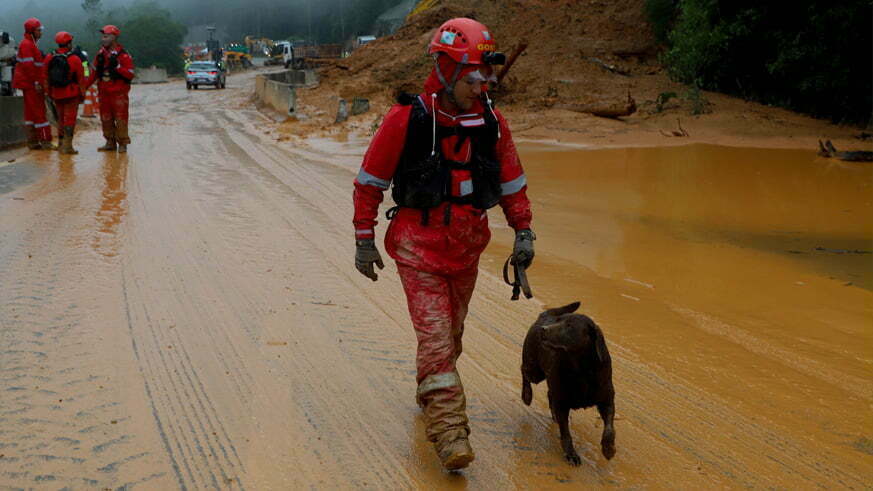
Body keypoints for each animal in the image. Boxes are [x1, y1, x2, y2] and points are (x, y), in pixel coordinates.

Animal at [520, 302, 616, 468]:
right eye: (559, 321)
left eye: (570, 326)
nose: (543, 329)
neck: (582, 370)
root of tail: (544, 315)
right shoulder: (562, 403)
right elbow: (566, 433)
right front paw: (571, 454)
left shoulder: (607, 400)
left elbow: (609, 429)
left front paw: (608, 449)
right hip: (534, 370)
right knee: (523, 371)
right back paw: (527, 395)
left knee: (549, 393)